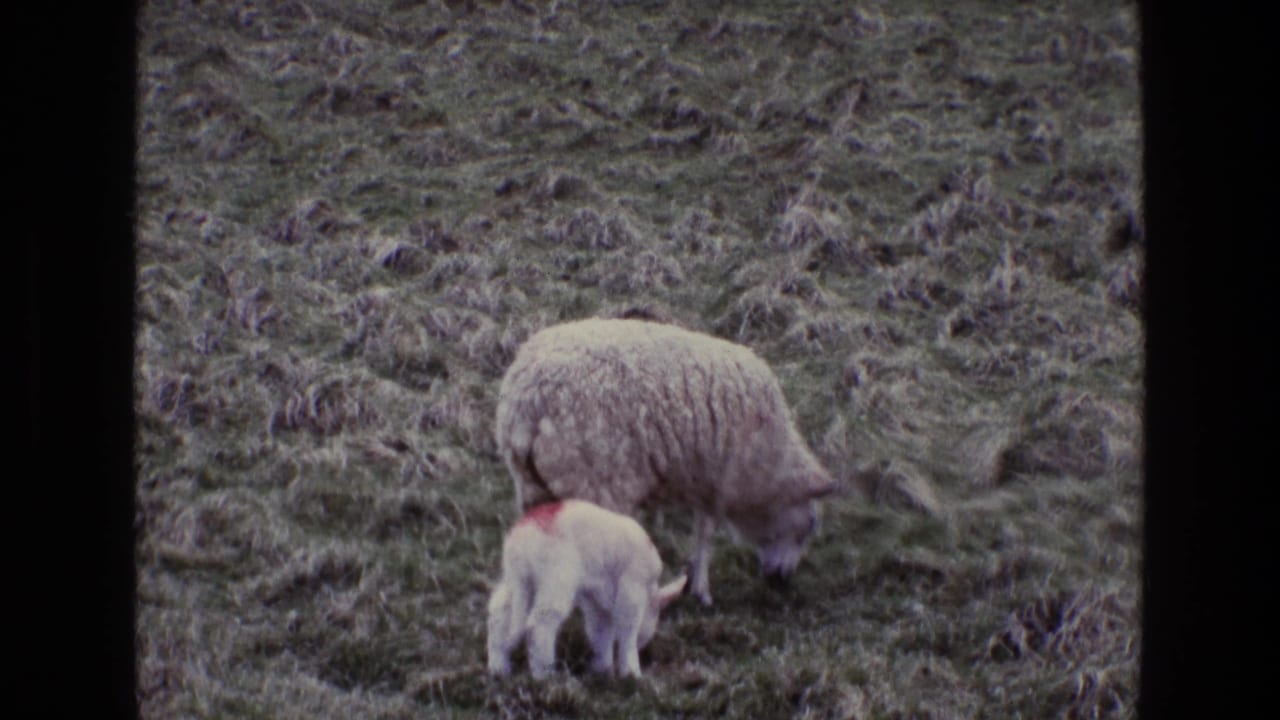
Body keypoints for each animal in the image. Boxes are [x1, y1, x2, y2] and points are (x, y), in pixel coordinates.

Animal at [486, 499, 687, 678]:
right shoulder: (632, 588)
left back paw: (499, 667)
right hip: (557, 578)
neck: (649, 591)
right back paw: (545, 675)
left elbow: (600, 631)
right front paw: (631, 673)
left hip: (517, 580)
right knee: (540, 623)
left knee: (498, 611)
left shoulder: (594, 598)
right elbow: (627, 628)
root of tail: (523, 535)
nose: (642, 646)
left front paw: (603, 670)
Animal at [495, 317, 836, 606]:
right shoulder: (719, 478)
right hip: (595, 484)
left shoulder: (702, 478)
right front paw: (702, 591)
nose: (781, 580)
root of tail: (530, 401)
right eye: (808, 527)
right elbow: (705, 533)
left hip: (532, 483)